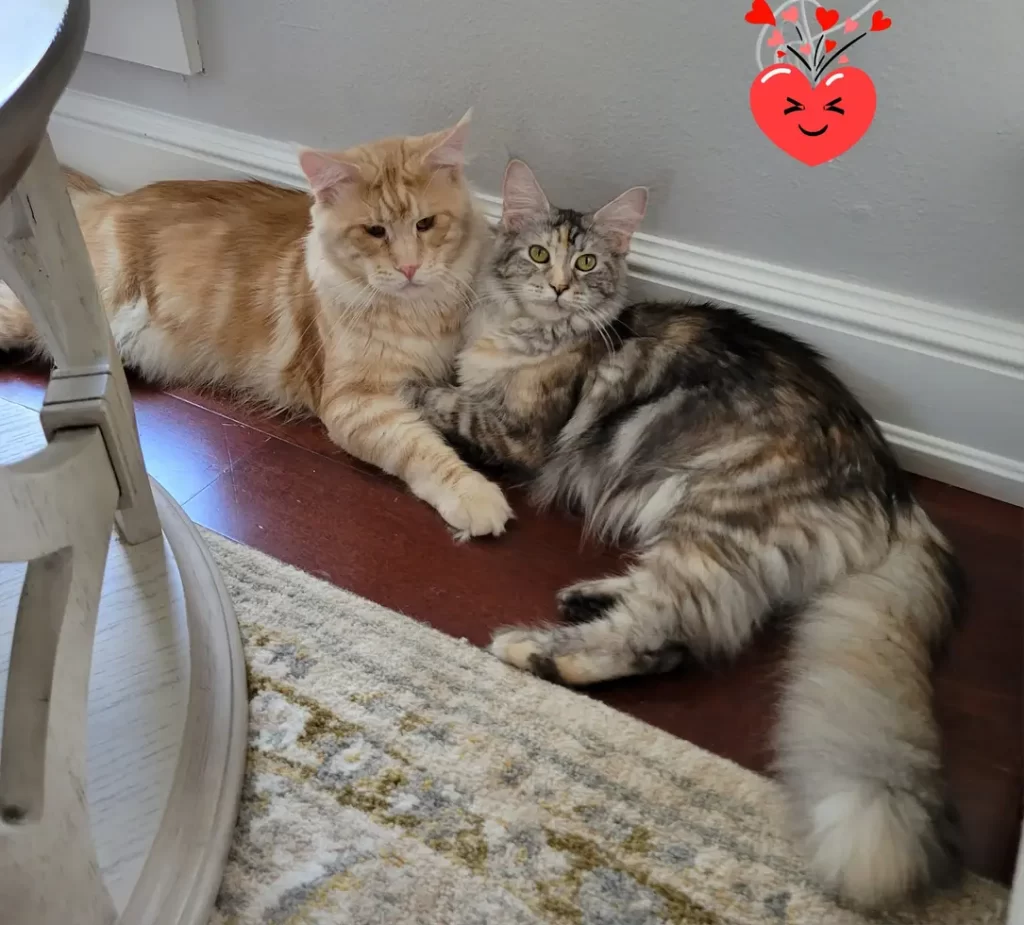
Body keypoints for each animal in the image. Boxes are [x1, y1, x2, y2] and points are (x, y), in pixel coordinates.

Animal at [0, 114, 512, 540]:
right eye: (374, 232)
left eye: (426, 224)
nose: (408, 268)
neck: (419, 312)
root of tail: (108, 199)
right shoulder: (356, 403)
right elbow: (421, 449)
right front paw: (473, 493)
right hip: (41, 315)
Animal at [411, 160, 962, 909]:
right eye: (539, 254)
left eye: (586, 262)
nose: (559, 288)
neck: (525, 334)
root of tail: (897, 492)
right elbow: (447, 379)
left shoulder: (515, 433)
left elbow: (440, 397)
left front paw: (403, 388)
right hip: (694, 528)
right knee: (672, 626)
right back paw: (584, 598)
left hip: (713, 516)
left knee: (667, 634)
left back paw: (538, 650)